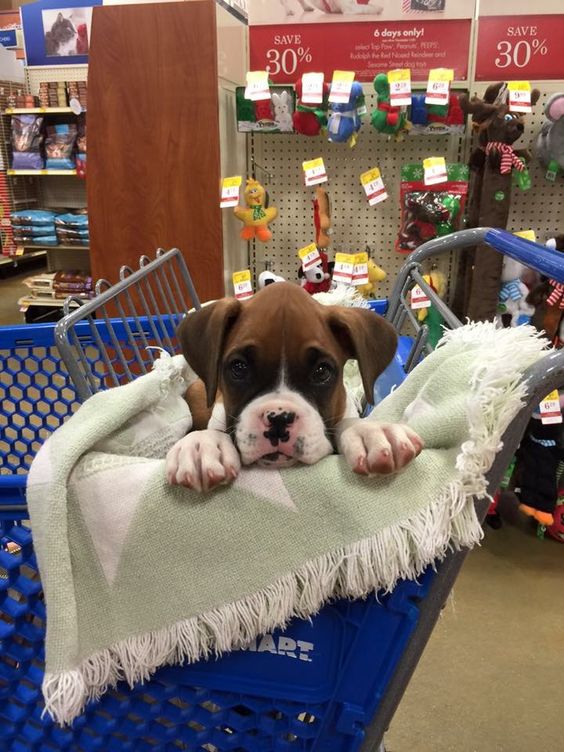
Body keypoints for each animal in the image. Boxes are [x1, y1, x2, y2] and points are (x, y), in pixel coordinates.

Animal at [167, 284, 424, 494]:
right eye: (239, 368)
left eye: (322, 371)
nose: (279, 418)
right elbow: (216, 428)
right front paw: (203, 444)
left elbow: (347, 423)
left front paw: (370, 432)